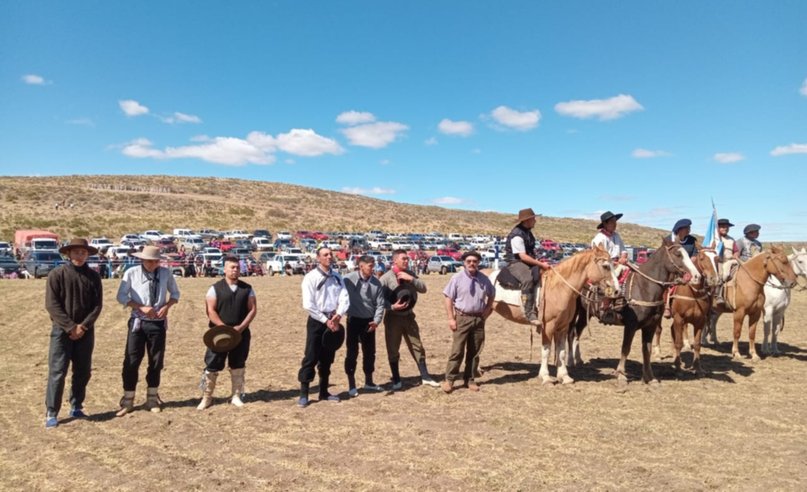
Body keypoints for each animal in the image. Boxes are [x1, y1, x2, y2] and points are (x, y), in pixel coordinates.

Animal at [486, 246, 620, 384]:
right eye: (605, 266)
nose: (617, 290)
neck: (559, 288)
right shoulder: (548, 326)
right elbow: (546, 350)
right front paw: (545, 377)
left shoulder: (563, 326)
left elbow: (561, 351)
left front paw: (564, 376)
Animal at [568, 238, 700, 384]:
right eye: (678, 254)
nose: (696, 276)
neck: (644, 287)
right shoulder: (630, 325)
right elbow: (626, 348)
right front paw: (621, 374)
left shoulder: (650, 326)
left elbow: (647, 350)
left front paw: (649, 377)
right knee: (572, 334)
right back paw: (571, 361)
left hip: (585, 313)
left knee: (577, 332)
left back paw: (578, 359)